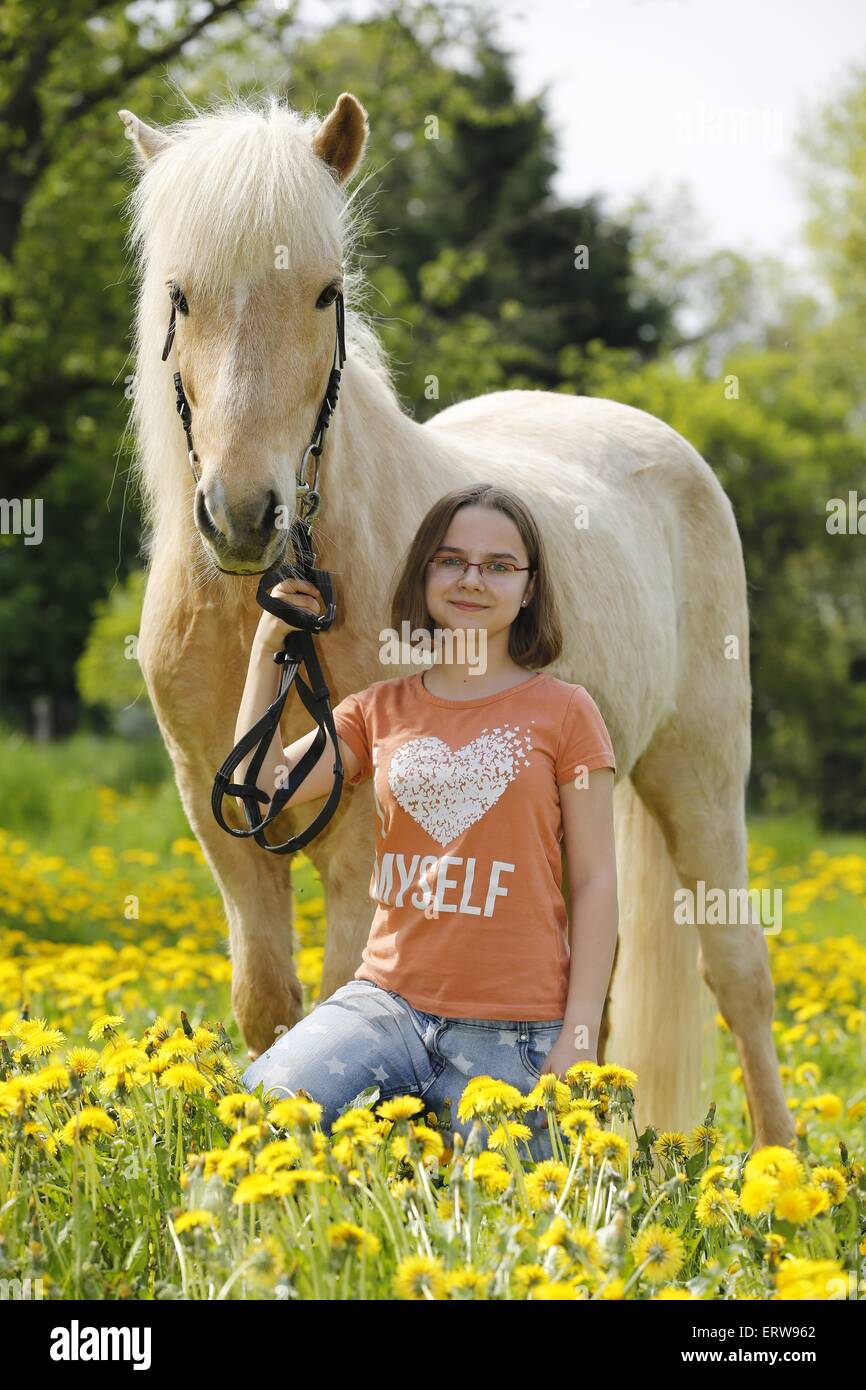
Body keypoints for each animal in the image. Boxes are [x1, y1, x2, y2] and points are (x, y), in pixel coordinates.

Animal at [118, 89, 795, 1150]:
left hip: (701, 771)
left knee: (737, 974)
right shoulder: (217, 807)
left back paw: (781, 1165)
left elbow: (343, 986)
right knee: (591, 991)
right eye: (180, 296)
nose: (244, 516)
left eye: (325, 292)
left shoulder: (361, 829)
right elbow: (270, 1007)